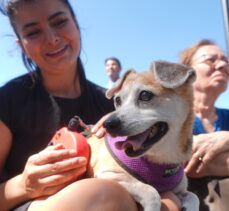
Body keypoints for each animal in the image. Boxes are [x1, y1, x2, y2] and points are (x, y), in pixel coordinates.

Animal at [86, 60, 199, 211]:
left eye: (145, 95)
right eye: (118, 100)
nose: (107, 124)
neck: (159, 158)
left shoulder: (179, 190)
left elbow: (194, 196)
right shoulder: (108, 173)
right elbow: (151, 191)